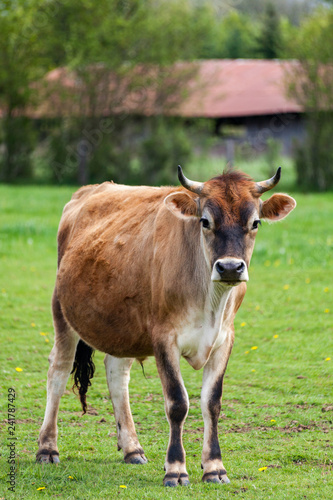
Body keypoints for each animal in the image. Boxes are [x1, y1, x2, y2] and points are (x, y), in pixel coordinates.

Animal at [37, 166, 296, 486]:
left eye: (255, 222)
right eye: (205, 221)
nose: (230, 268)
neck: (209, 301)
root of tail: (90, 190)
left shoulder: (225, 339)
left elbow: (212, 402)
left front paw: (214, 467)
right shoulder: (163, 338)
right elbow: (177, 402)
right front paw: (175, 468)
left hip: (121, 325)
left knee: (117, 375)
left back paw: (132, 448)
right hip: (62, 311)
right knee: (58, 371)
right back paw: (47, 448)